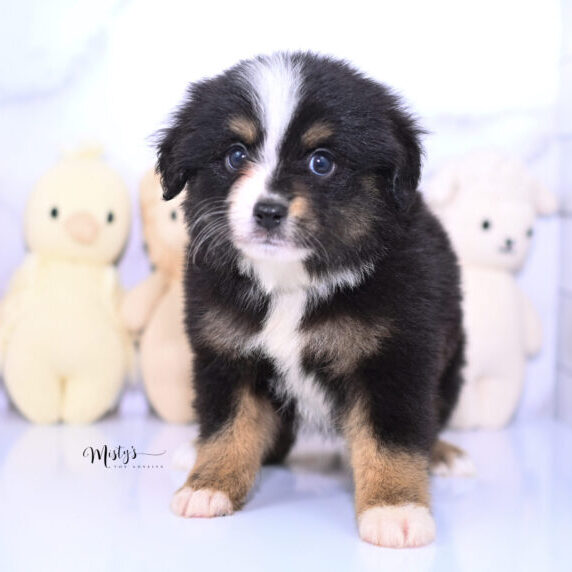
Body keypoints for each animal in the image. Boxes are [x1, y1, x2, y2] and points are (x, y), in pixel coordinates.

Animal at [155, 53, 464, 548]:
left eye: (322, 162)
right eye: (235, 155)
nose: (268, 211)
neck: (290, 285)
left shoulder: (395, 356)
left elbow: (392, 438)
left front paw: (395, 508)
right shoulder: (225, 352)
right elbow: (230, 425)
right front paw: (210, 485)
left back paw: (444, 454)